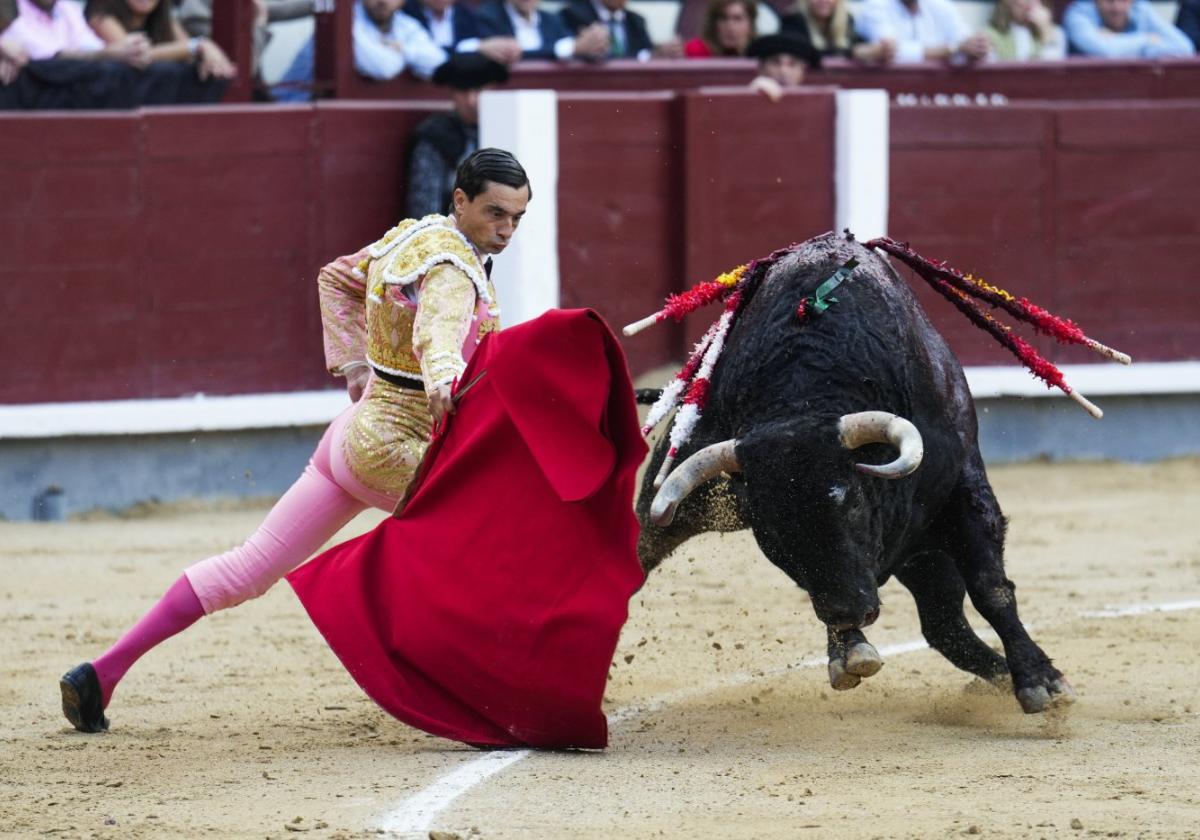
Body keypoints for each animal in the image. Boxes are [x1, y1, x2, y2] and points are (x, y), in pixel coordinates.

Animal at [638, 231, 1080, 715]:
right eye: (773, 530)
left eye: (847, 500)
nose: (850, 611)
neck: (807, 390)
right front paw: (849, 651)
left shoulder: (963, 488)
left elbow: (991, 588)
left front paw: (1041, 681)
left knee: (946, 621)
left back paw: (1003, 676)